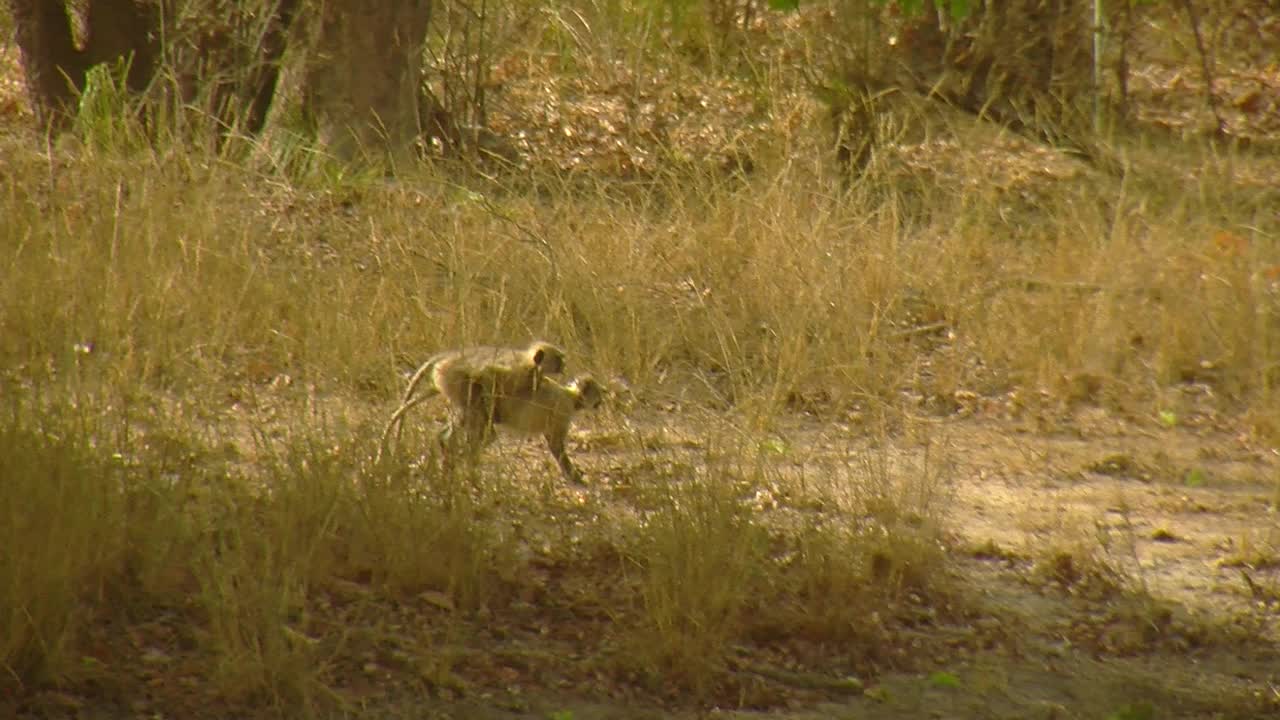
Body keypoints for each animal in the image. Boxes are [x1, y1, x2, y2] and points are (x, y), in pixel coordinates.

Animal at [373, 338, 565, 461]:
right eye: (559, 359)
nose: (564, 364)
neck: (530, 362)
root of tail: (447, 357)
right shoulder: (518, 371)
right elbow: (487, 375)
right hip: (452, 379)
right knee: (471, 399)